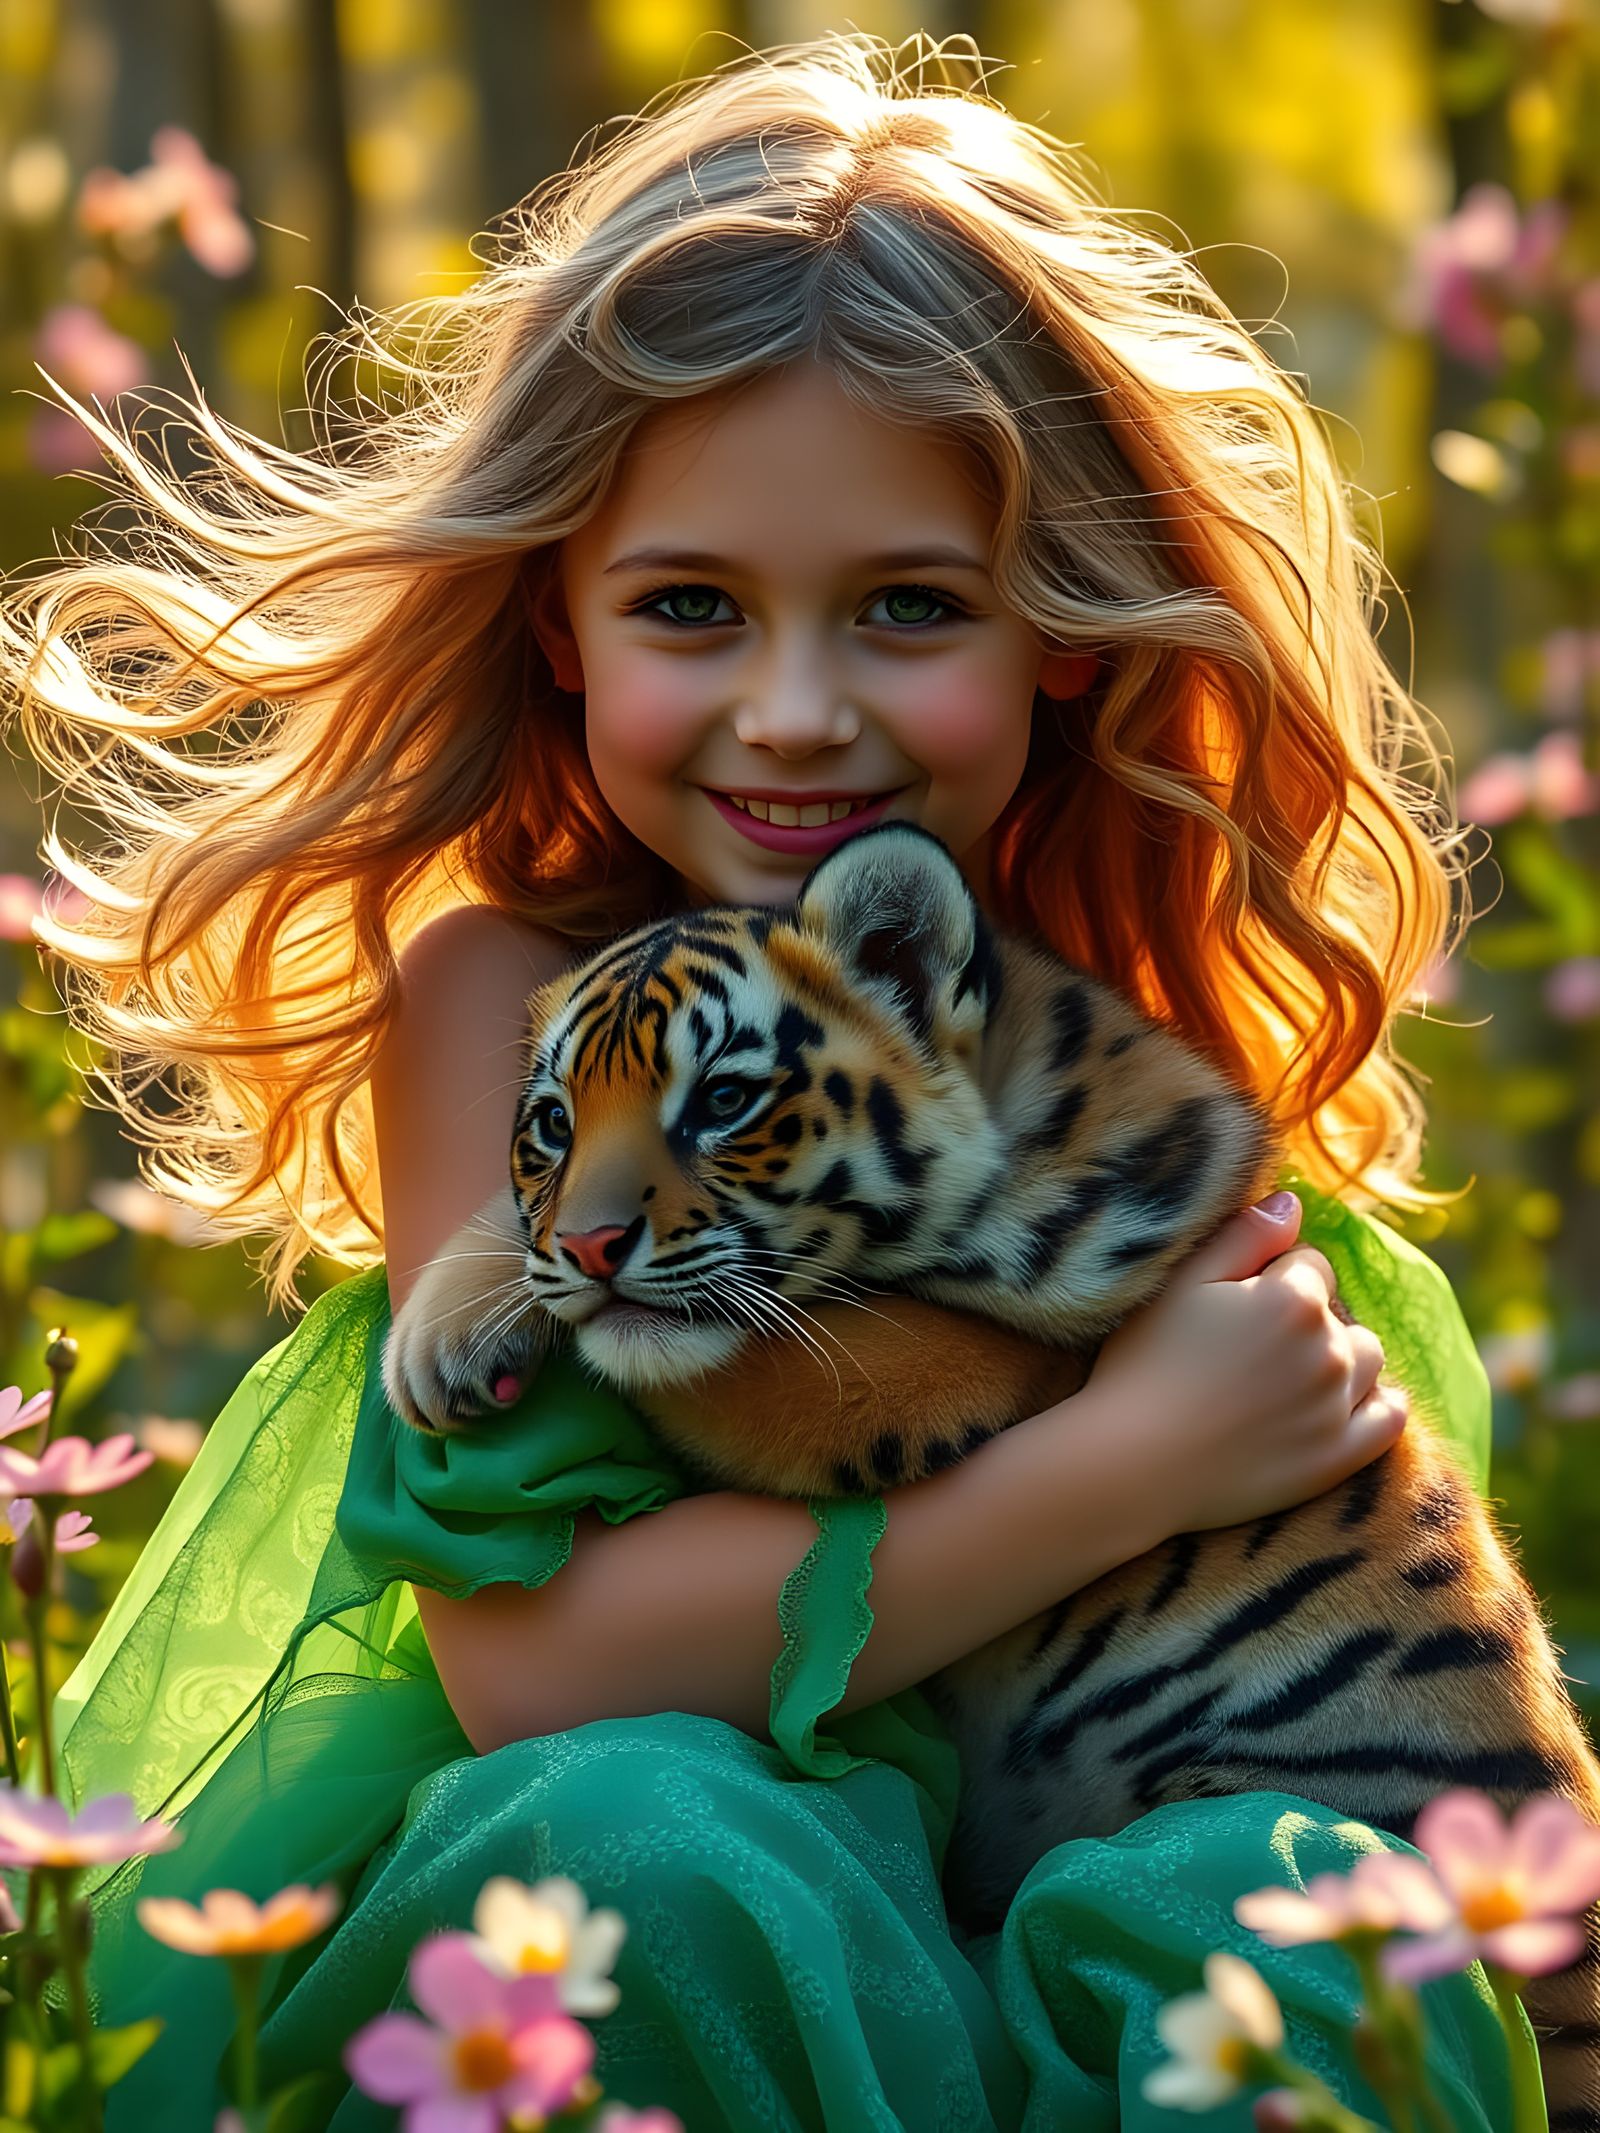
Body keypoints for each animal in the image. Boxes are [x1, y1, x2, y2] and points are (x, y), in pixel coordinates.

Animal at [384, 821, 1600, 2126]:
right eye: (553, 1125)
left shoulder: (957, 1369)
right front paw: (444, 1331)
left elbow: (723, 1344)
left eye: (722, 1100)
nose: (591, 1245)